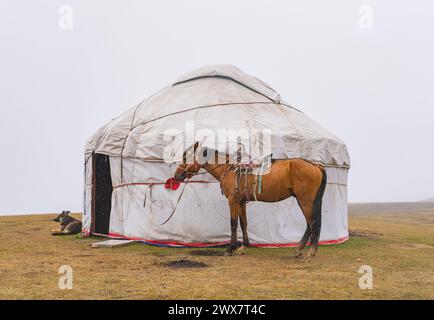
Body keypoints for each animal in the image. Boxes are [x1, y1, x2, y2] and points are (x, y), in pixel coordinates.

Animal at [175, 145, 328, 260]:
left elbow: (233, 223)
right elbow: (243, 223)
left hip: (306, 201)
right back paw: (299, 250)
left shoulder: (233, 201)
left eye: (185, 157)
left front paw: (230, 249)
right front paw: (243, 247)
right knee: (309, 224)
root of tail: (316, 166)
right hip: (304, 201)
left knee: (313, 223)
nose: (177, 175)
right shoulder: (241, 201)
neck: (229, 170)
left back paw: (310, 252)